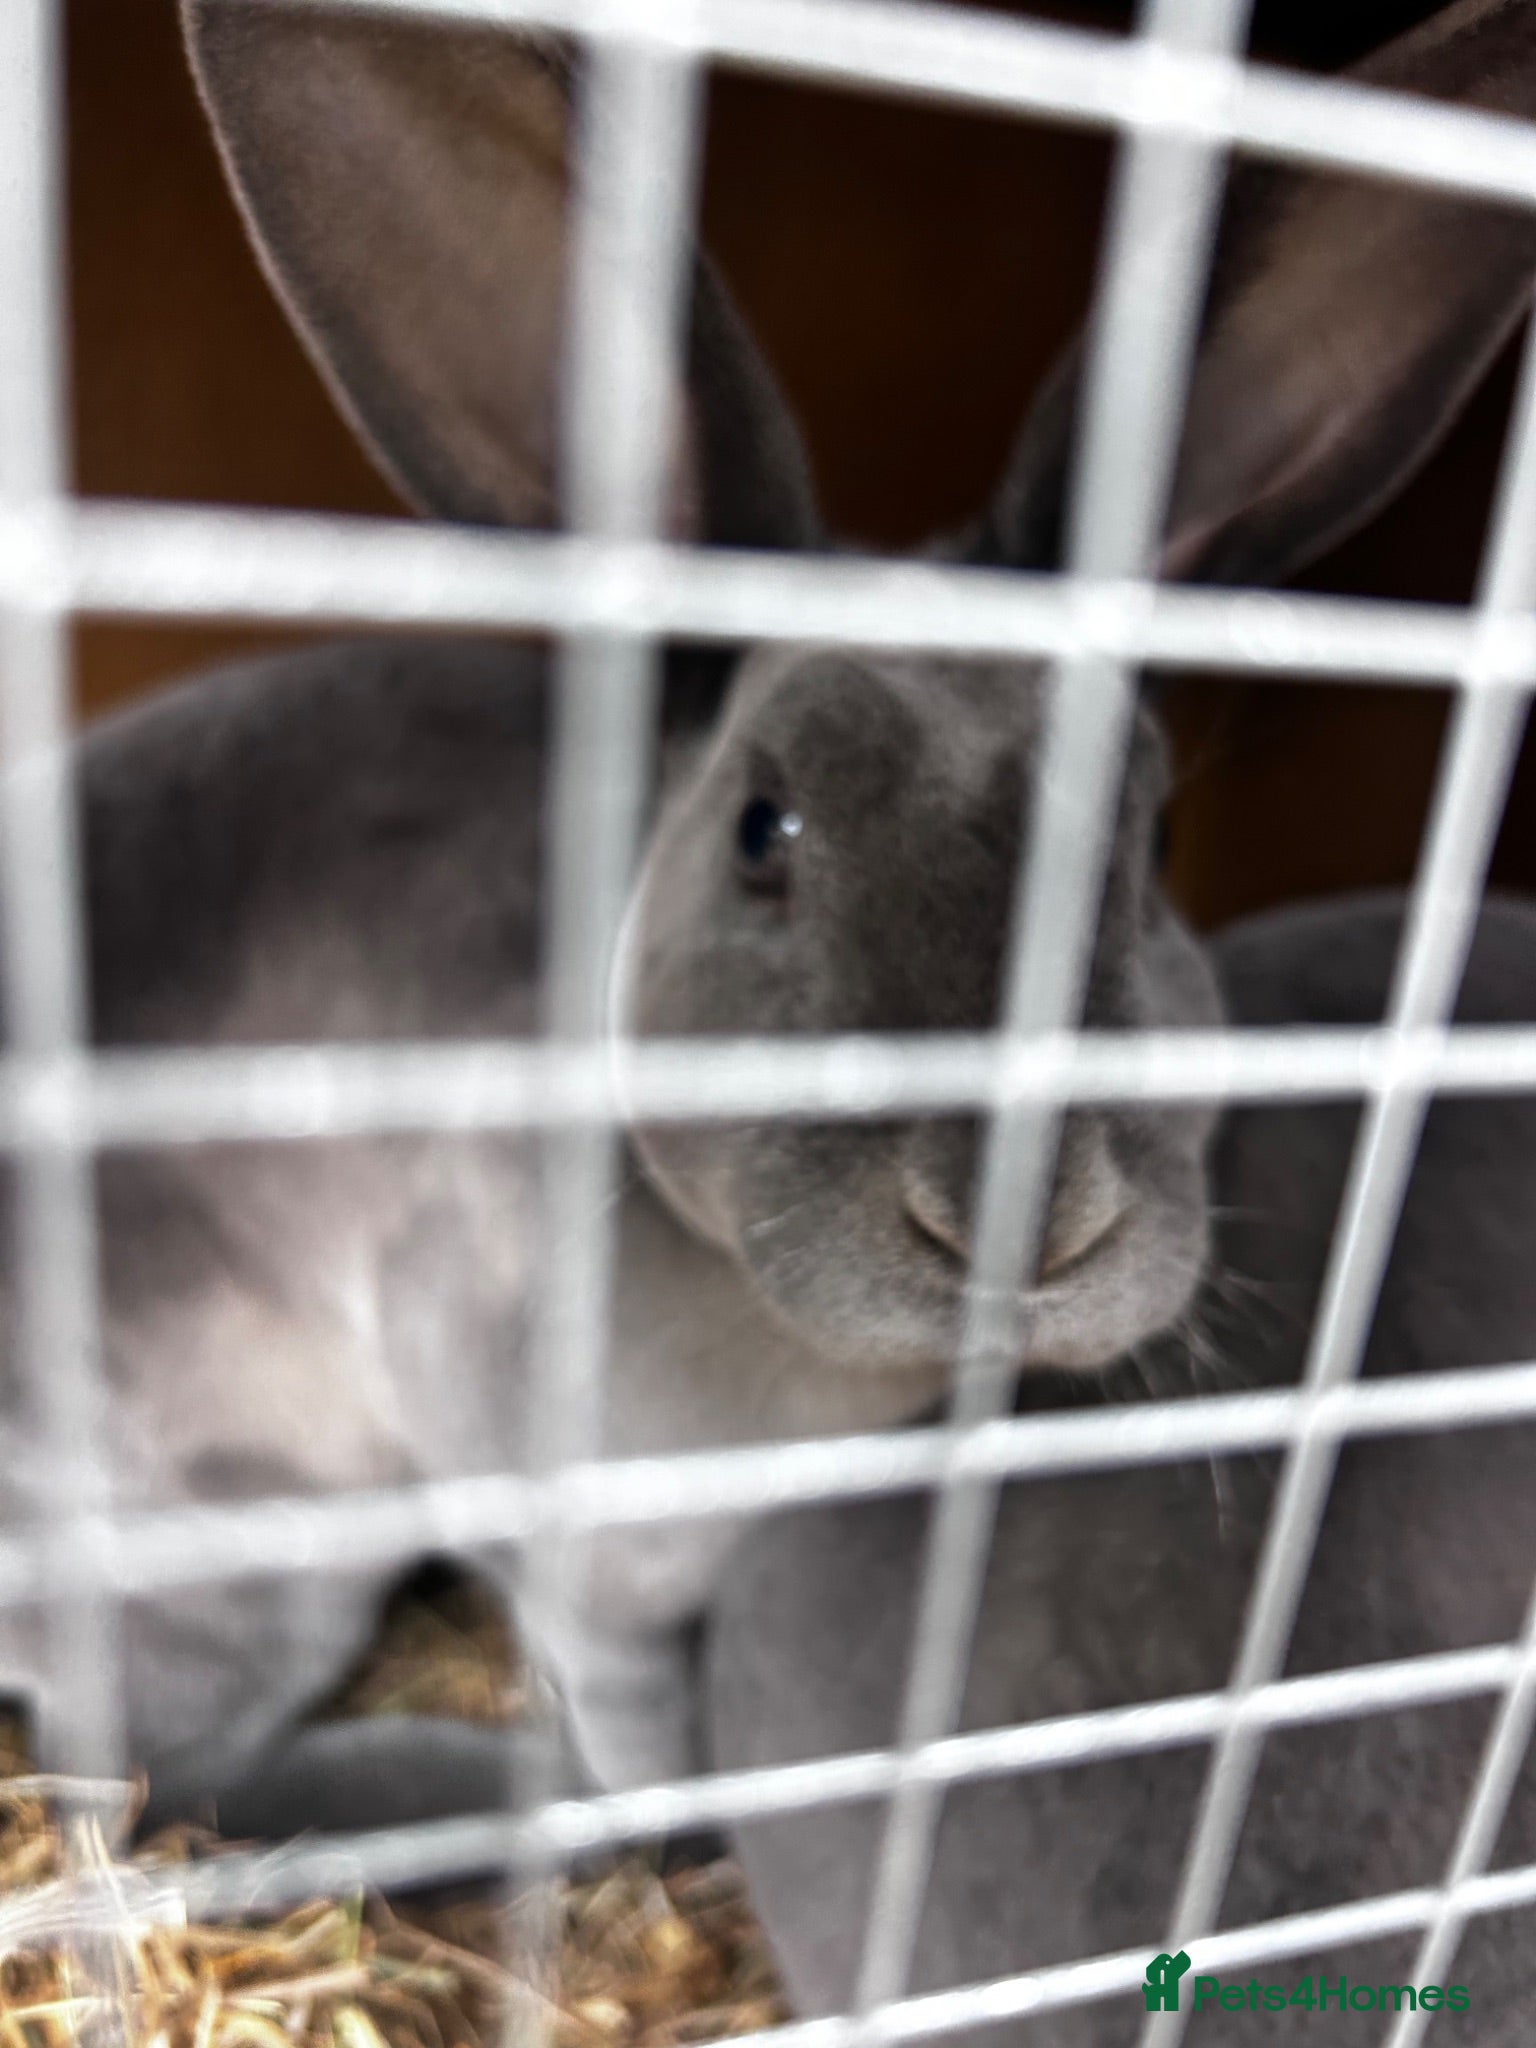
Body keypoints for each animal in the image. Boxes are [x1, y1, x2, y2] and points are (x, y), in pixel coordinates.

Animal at [0, 0, 1530, 1842]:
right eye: (761, 830)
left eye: (1150, 835)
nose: (1019, 1214)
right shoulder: (580, 1565)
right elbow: (642, 1732)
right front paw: (663, 1805)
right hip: (244, 1537)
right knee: (152, 1768)